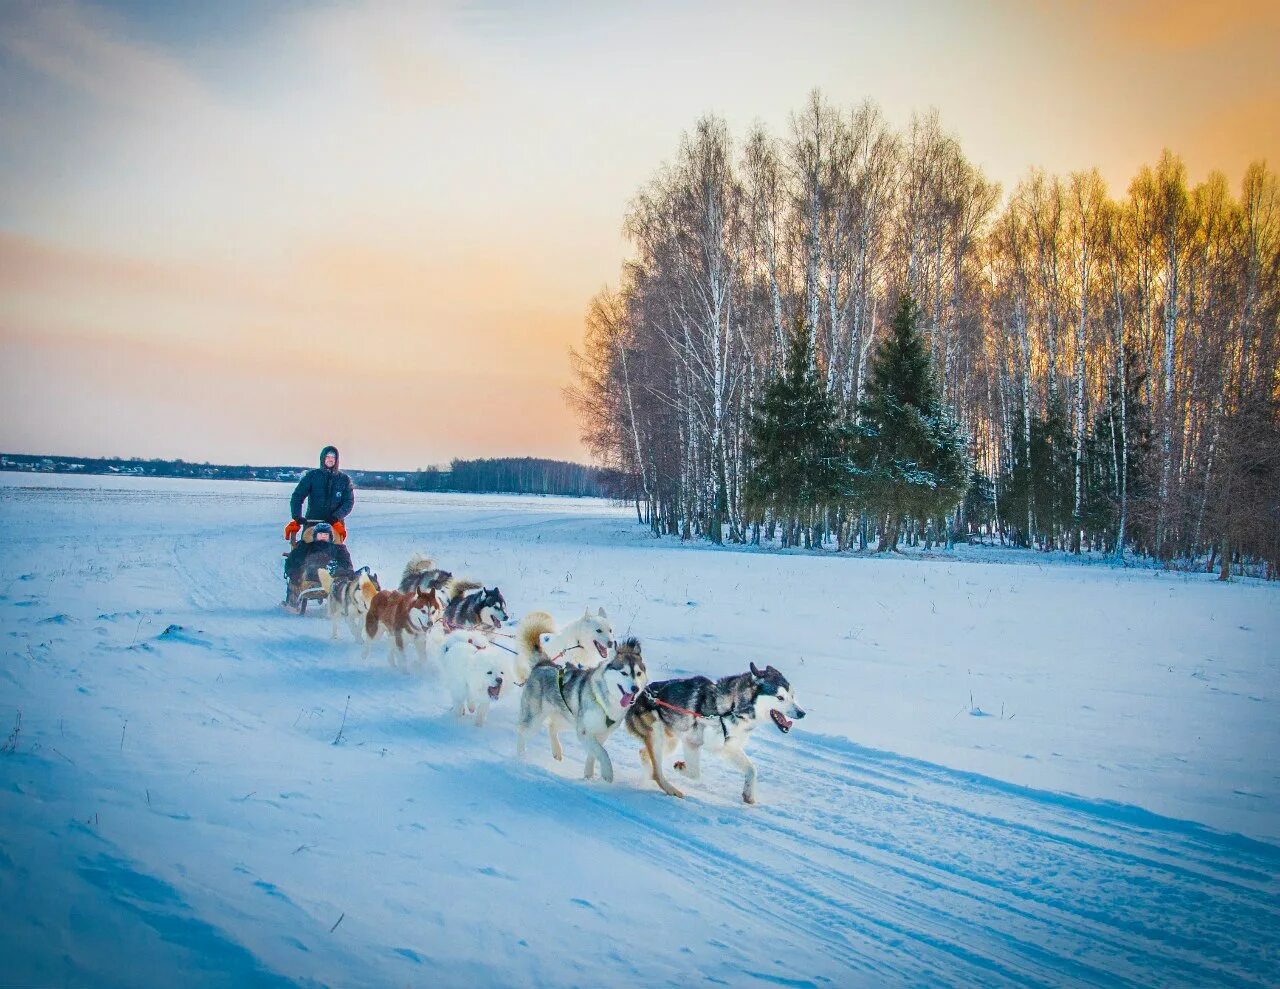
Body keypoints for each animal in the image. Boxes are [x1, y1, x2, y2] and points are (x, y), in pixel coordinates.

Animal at [514, 637, 645, 783]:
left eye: (638, 673)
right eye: (624, 673)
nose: (635, 688)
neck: (606, 701)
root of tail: (543, 664)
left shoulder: (601, 734)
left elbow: (594, 754)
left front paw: (588, 775)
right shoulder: (584, 732)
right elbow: (603, 753)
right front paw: (607, 774)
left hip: (568, 718)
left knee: (552, 726)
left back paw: (557, 751)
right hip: (535, 719)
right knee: (521, 731)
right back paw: (520, 756)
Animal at [627, 665, 803, 803]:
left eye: (792, 696)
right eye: (780, 697)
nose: (802, 713)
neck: (730, 708)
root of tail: (639, 694)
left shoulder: (728, 748)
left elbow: (752, 770)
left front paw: (749, 795)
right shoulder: (691, 742)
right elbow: (695, 773)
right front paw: (681, 767)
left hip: (670, 741)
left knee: (644, 754)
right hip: (658, 736)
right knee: (657, 771)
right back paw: (670, 788)